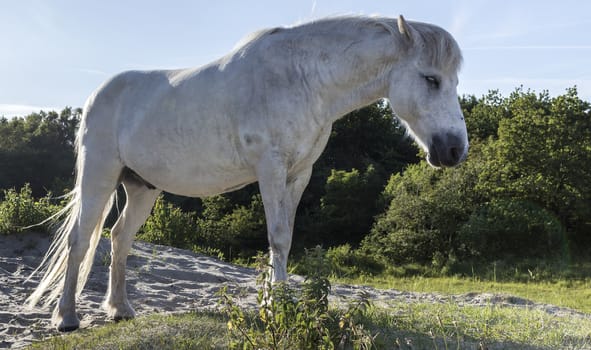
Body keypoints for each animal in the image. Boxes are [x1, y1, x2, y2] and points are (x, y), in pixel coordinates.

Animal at [25, 14, 470, 330]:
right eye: (431, 79)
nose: (454, 149)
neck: (303, 79)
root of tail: (95, 97)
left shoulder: (299, 174)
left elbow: (286, 238)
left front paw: (279, 301)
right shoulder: (270, 168)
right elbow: (277, 237)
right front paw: (276, 308)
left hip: (142, 187)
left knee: (119, 238)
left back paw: (120, 309)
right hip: (99, 174)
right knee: (81, 239)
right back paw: (66, 318)